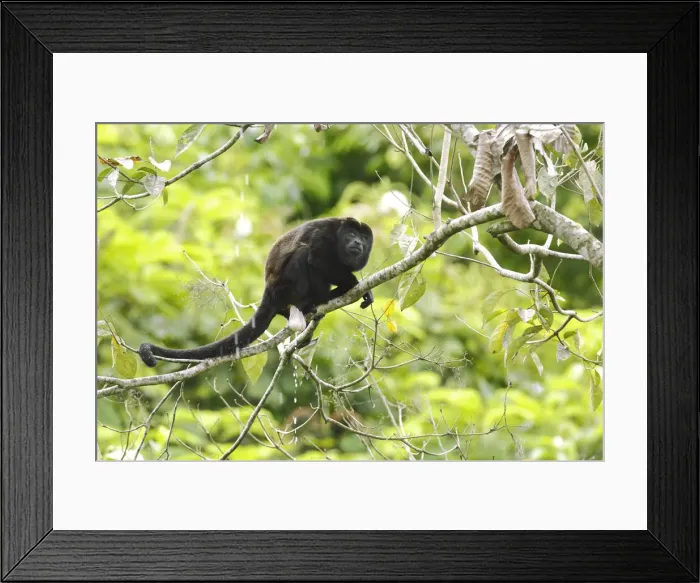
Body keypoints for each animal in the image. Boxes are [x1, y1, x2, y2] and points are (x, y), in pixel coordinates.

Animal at [138, 217, 374, 367]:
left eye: (363, 239)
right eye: (351, 234)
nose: (357, 242)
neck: (338, 238)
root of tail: (268, 292)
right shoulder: (324, 235)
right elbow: (316, 258)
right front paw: (352, 282)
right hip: (286, 288)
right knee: (304, 254)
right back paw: (319, 299)